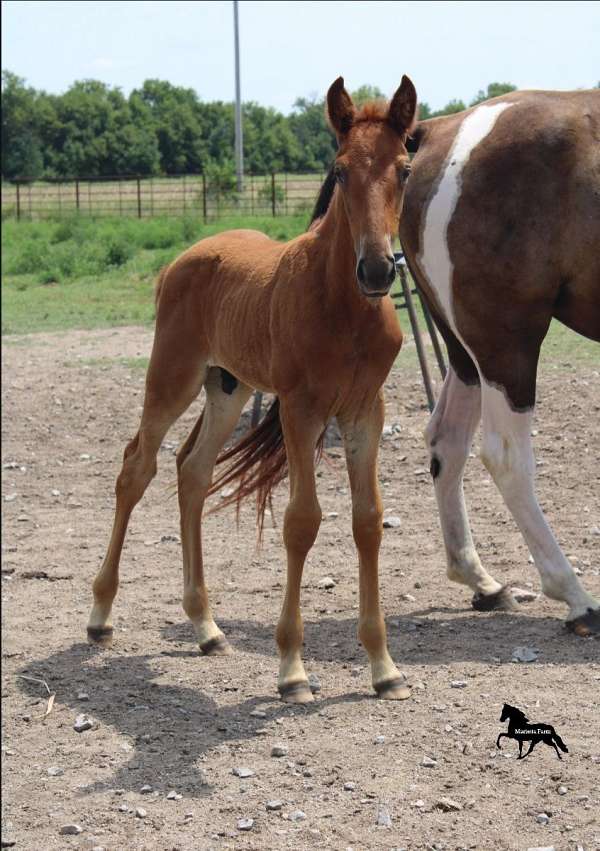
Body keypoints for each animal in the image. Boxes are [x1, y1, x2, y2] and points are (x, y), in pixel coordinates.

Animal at [88, 76, 418, 704]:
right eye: (340, 171)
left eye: (405, 168)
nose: (376, 270)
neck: (342, 307)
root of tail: (179, 262)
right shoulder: (300, 409)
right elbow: (302, 521)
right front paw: (291, 669)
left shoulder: (365, 409)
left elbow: (368, 520)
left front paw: (384, 667)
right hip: (173, 377)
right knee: (136, 467)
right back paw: (100, 617)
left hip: (228, 388)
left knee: (192, 472)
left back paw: (206, 627)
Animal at [312, 88, 596, 632]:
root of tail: (444, 129)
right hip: (504, 343)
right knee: (506, 457)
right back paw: (576, 596)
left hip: (467, 354)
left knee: (448, 441)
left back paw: (481, 581)